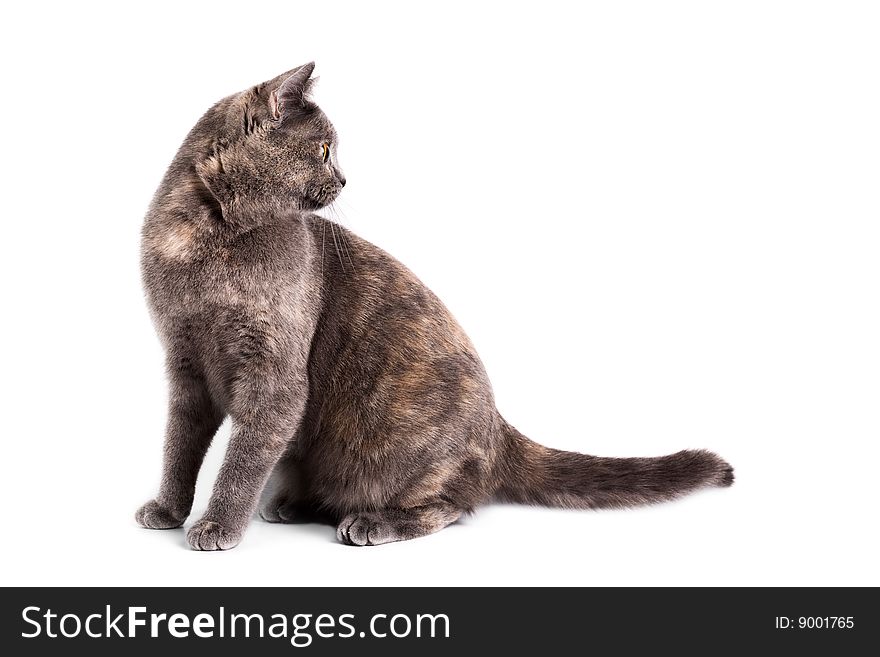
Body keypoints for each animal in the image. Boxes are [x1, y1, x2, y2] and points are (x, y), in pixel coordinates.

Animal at [134, 65, 732, 548]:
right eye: (324, 150)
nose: (345, 176)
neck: (209, 235)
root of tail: (499, 427)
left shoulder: (273, 375)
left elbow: (242, 458)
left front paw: (217, 526)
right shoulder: (183, 363)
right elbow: (179, 445)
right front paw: (168, 509)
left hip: (394, 445)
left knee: (454, 503)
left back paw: (372, 521)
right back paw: (290, 502)